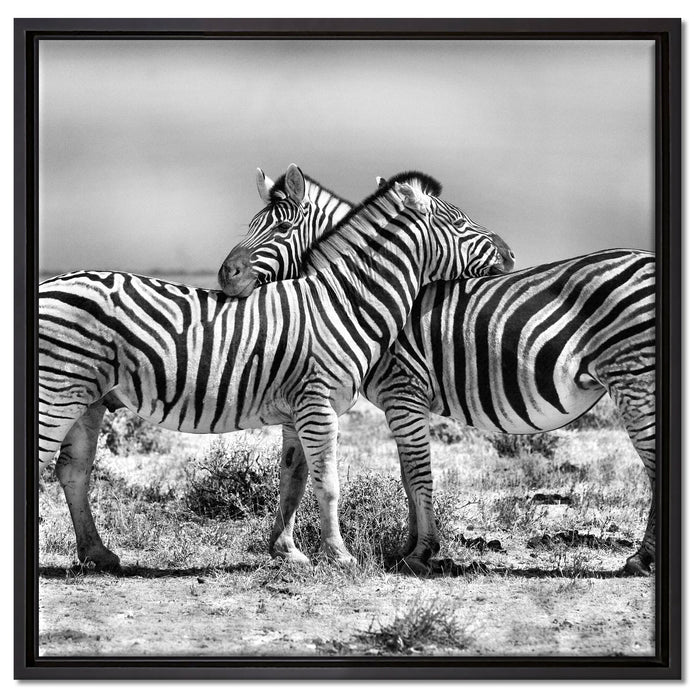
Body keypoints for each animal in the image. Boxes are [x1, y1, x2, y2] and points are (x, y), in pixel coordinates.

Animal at [39, 169, 511, 570]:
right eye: (462, 223)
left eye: (281, 229)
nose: (508, 254)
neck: (343, 302)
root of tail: (49, 283)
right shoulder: (319, 406)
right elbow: (327, 483)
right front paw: (340, 557)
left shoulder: (300, 410)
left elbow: (293, 479)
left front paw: (288, 552)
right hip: (57, 392)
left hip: (88, 399)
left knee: (73, 471)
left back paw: (98, 554)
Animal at [218, 169, 655, 578]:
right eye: (252, 225)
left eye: (280, 228)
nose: (226, 275)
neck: (356, 295)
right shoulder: (401, 402)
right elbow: (407, 476)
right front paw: (410, 548)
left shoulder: (403, 391)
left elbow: (417, 473)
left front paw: (421, 552)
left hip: (634, 377)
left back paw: (641, 559)